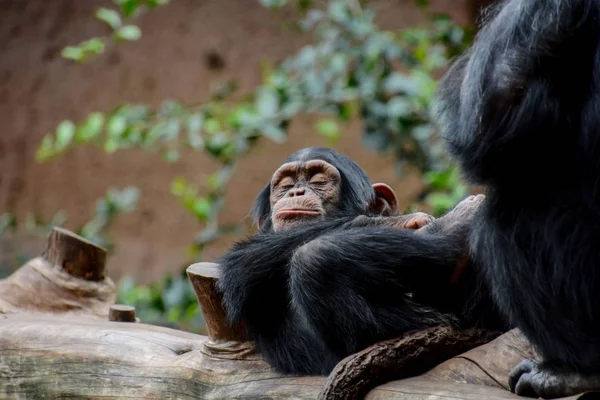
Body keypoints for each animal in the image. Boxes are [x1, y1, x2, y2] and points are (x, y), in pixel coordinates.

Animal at [216, 146, 506, 376]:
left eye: (319, 180)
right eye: (285, 185)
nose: (295, 192)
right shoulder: (246, 264)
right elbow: (242, 263)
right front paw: (406, 223)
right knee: (313, 260)